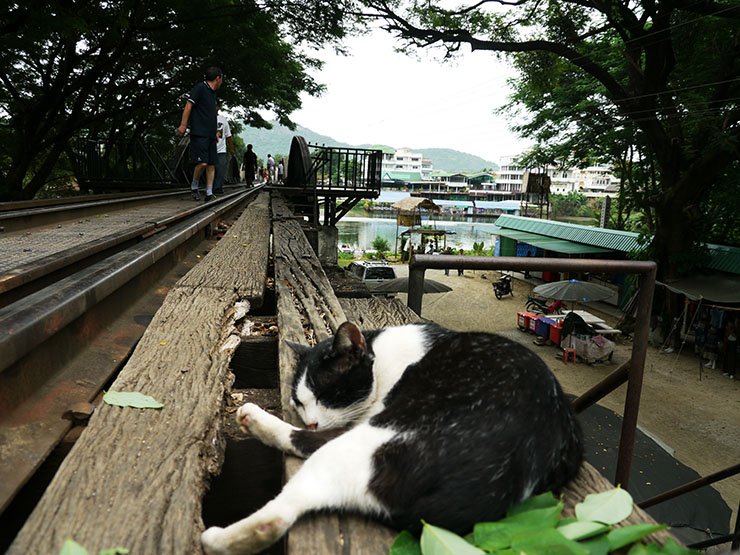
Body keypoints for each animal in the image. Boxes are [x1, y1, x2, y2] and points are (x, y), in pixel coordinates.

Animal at [202, 322, 584, 555]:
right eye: (299, 401)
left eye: (327, 395)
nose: (310, 420)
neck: (381, 358)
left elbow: (312, 439)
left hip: (366, 442)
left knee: (283, 509)